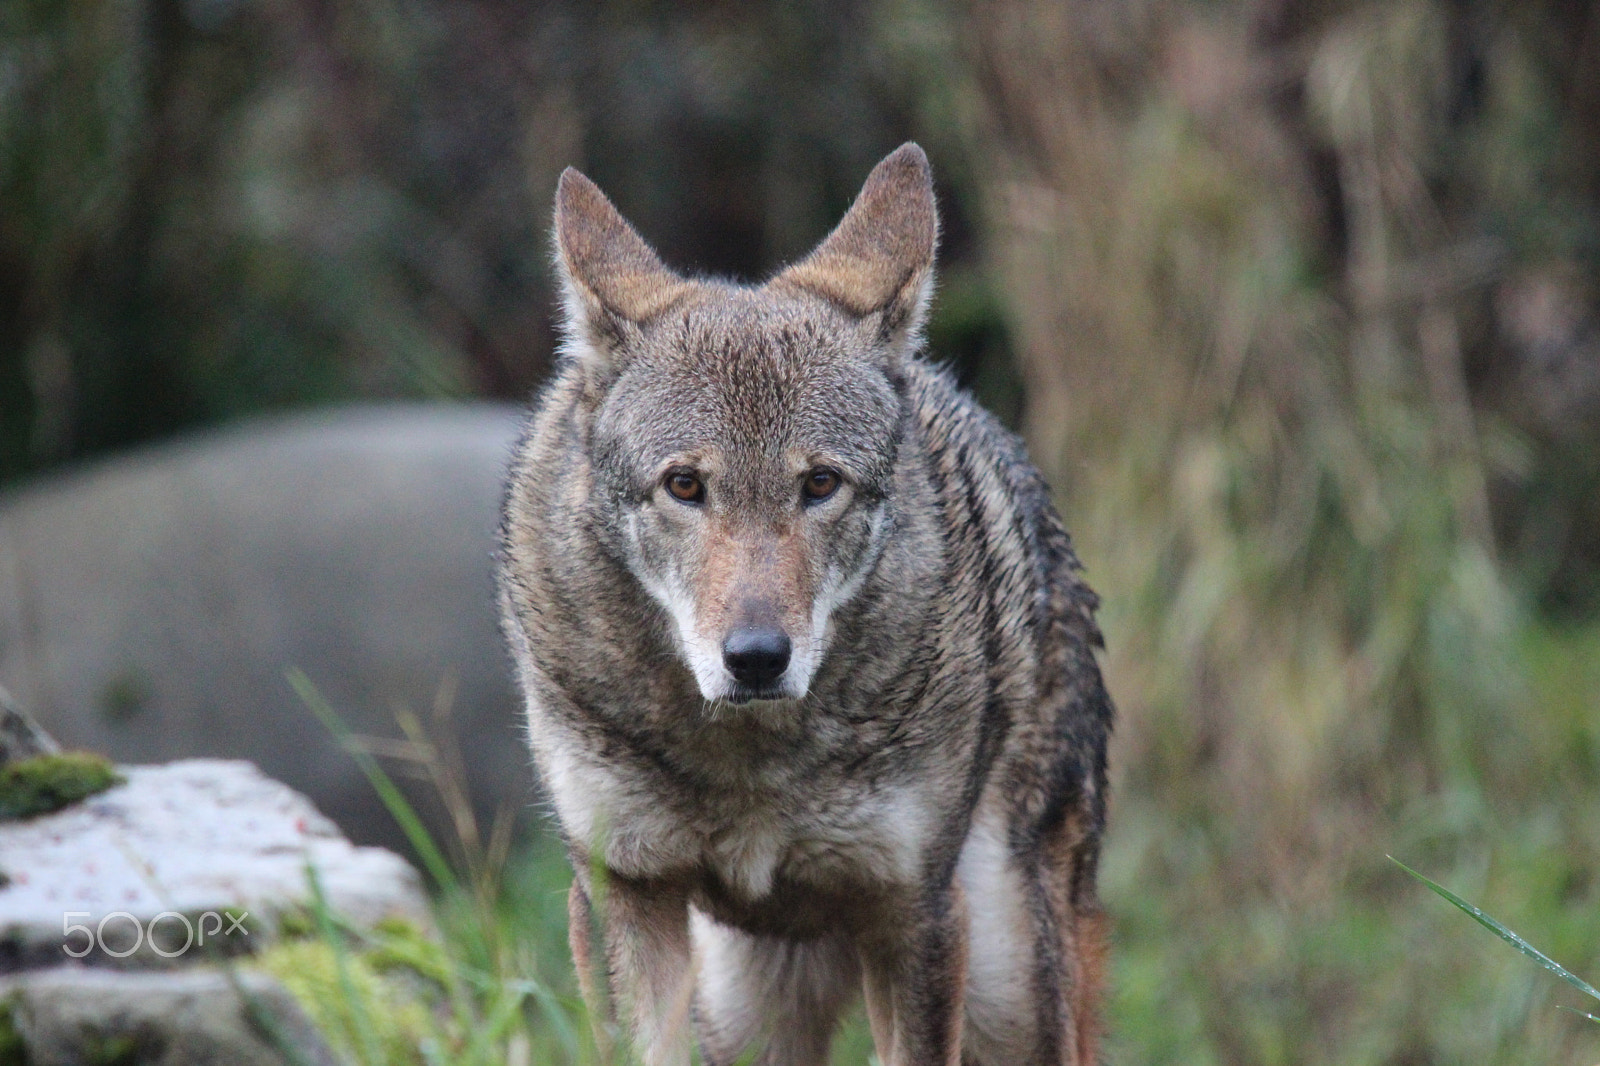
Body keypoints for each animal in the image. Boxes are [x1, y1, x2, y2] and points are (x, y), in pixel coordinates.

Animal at [497, 143, 1114, 1066]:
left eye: (820, 484)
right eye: (685, 485)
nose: (756, 658)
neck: (751, 766)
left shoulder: (914, 912)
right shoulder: (623, 890)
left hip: (1012, 993)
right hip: (745, 1011)